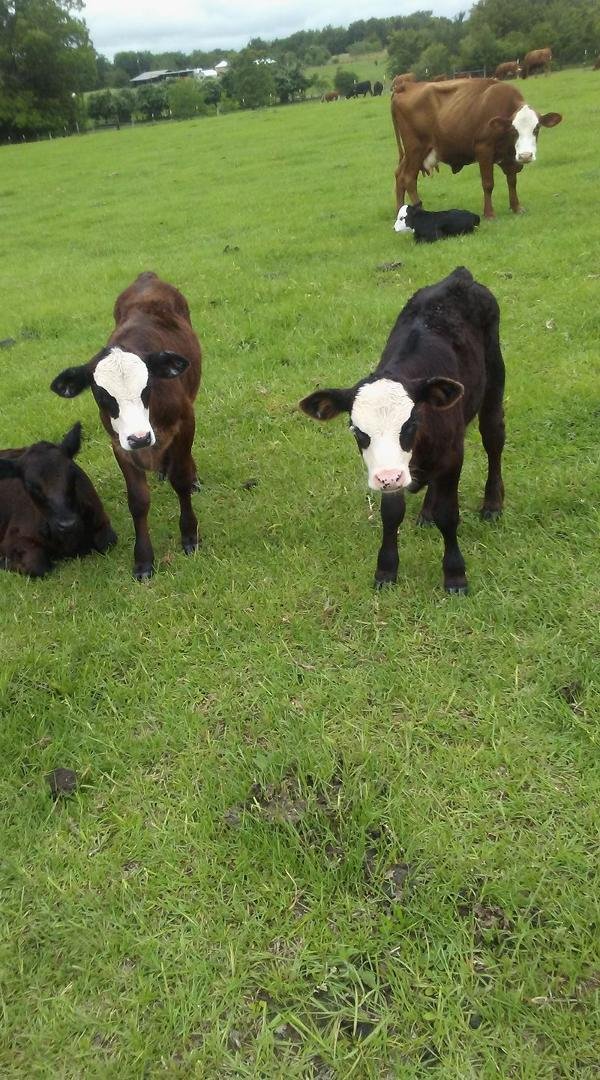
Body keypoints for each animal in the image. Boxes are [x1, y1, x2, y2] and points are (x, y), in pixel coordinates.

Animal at [0, 422, 116, 577]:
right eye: (30, 485)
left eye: (73, 472)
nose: (67, 524)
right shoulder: (13, 538)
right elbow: (37, 565)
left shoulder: (101, 520)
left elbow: (106, 542)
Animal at [50, 272, 202, 581]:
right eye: (102, 394)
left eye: (148, 387)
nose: (141, 438)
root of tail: (148, 276)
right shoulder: (119, 444)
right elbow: (138, 501)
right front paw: (143, 560)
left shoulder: (185, 422)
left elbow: (180, 480)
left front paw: (189, 536)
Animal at [300, 267, 505, 595]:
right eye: (357, 431)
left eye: (410, 423)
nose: (389, 478)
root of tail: (459, 276)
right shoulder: (390, 468)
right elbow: (391, 515)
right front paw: (386, 570)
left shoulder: (452, 456)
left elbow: (449, 515)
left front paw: (455, 575)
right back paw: (426, 512)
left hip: (494, 382)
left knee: (494, 439)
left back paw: (492, 504)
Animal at [391, 78, 562, 218]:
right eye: (514, 130)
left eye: (537, 128)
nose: (526, 156)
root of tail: (406, 86)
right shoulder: (483, 149)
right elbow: (488, 183)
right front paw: (489, 213)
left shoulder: (510, 156)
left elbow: (512, 180)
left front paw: (516, 207)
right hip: (416, 149)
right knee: (409, 178)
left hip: (412, 153)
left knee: (399, 175)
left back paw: (399, 210)